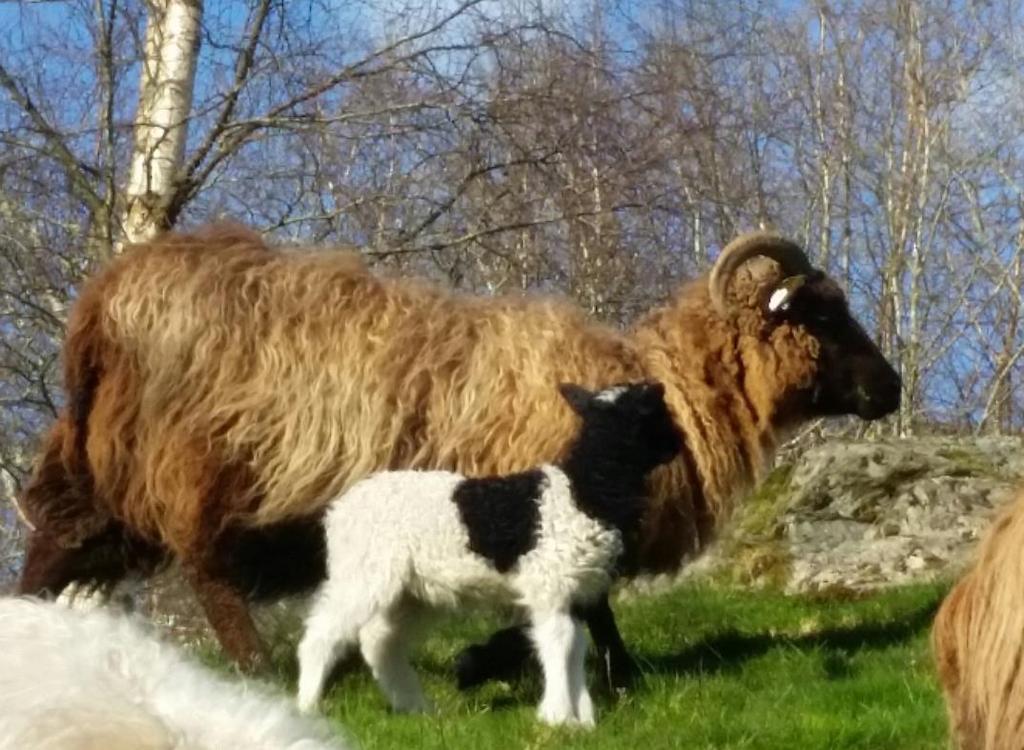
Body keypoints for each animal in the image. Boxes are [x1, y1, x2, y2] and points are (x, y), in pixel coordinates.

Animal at [296, 381, 679, 725]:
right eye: (661, 417)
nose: (678, 444)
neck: (587, 490)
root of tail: (338, 511)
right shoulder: (549, 586)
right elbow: (560, 641)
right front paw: (559, 717)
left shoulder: (576, 590)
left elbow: (577, 645)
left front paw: (584, 719)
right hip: (363, 573)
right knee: (321, 635)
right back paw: (308, 706)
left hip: (414, 592)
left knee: (380, 641)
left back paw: (416, 708)